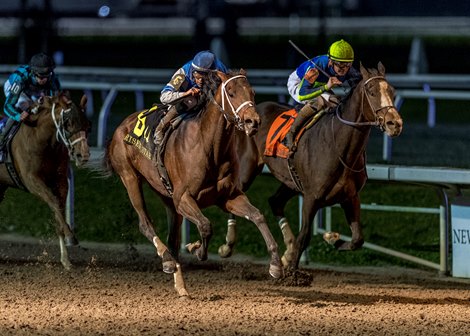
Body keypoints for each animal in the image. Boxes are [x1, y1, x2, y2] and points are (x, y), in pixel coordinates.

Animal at [0, 92, 91, 270]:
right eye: (69, 123)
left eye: (87, 125)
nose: (82, 155)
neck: (40, 139)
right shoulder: (32, 180)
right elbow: (54, 203)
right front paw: (71, 237)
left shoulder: (60, 180)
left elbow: (58, 210)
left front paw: (66, 259)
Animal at [103, 69, 282, 296]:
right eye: (231, 93)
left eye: (252, 92)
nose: (253, 122)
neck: (209, 146)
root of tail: (120, 127)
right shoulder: (184, 198)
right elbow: (205, 226)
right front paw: (196, 249)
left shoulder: (228, 197)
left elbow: (258, 216)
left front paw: (276, 264)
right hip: (130, 177)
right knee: (145, 223)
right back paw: (167, 260)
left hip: (165, 193)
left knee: (172, 237)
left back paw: (180, 284)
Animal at [220, 62, 404, 270]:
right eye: (371, 92)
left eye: (392, 91)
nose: (395, 123)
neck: (339, 145)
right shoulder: (311, 197)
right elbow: (304, 238)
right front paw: (291, 271)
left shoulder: (350, 196)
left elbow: (358, 239)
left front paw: (331, 238)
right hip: (247, 169)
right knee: (236, 194)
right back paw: (227, 245)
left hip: (291, 180)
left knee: (275, 201)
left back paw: (287, 251)